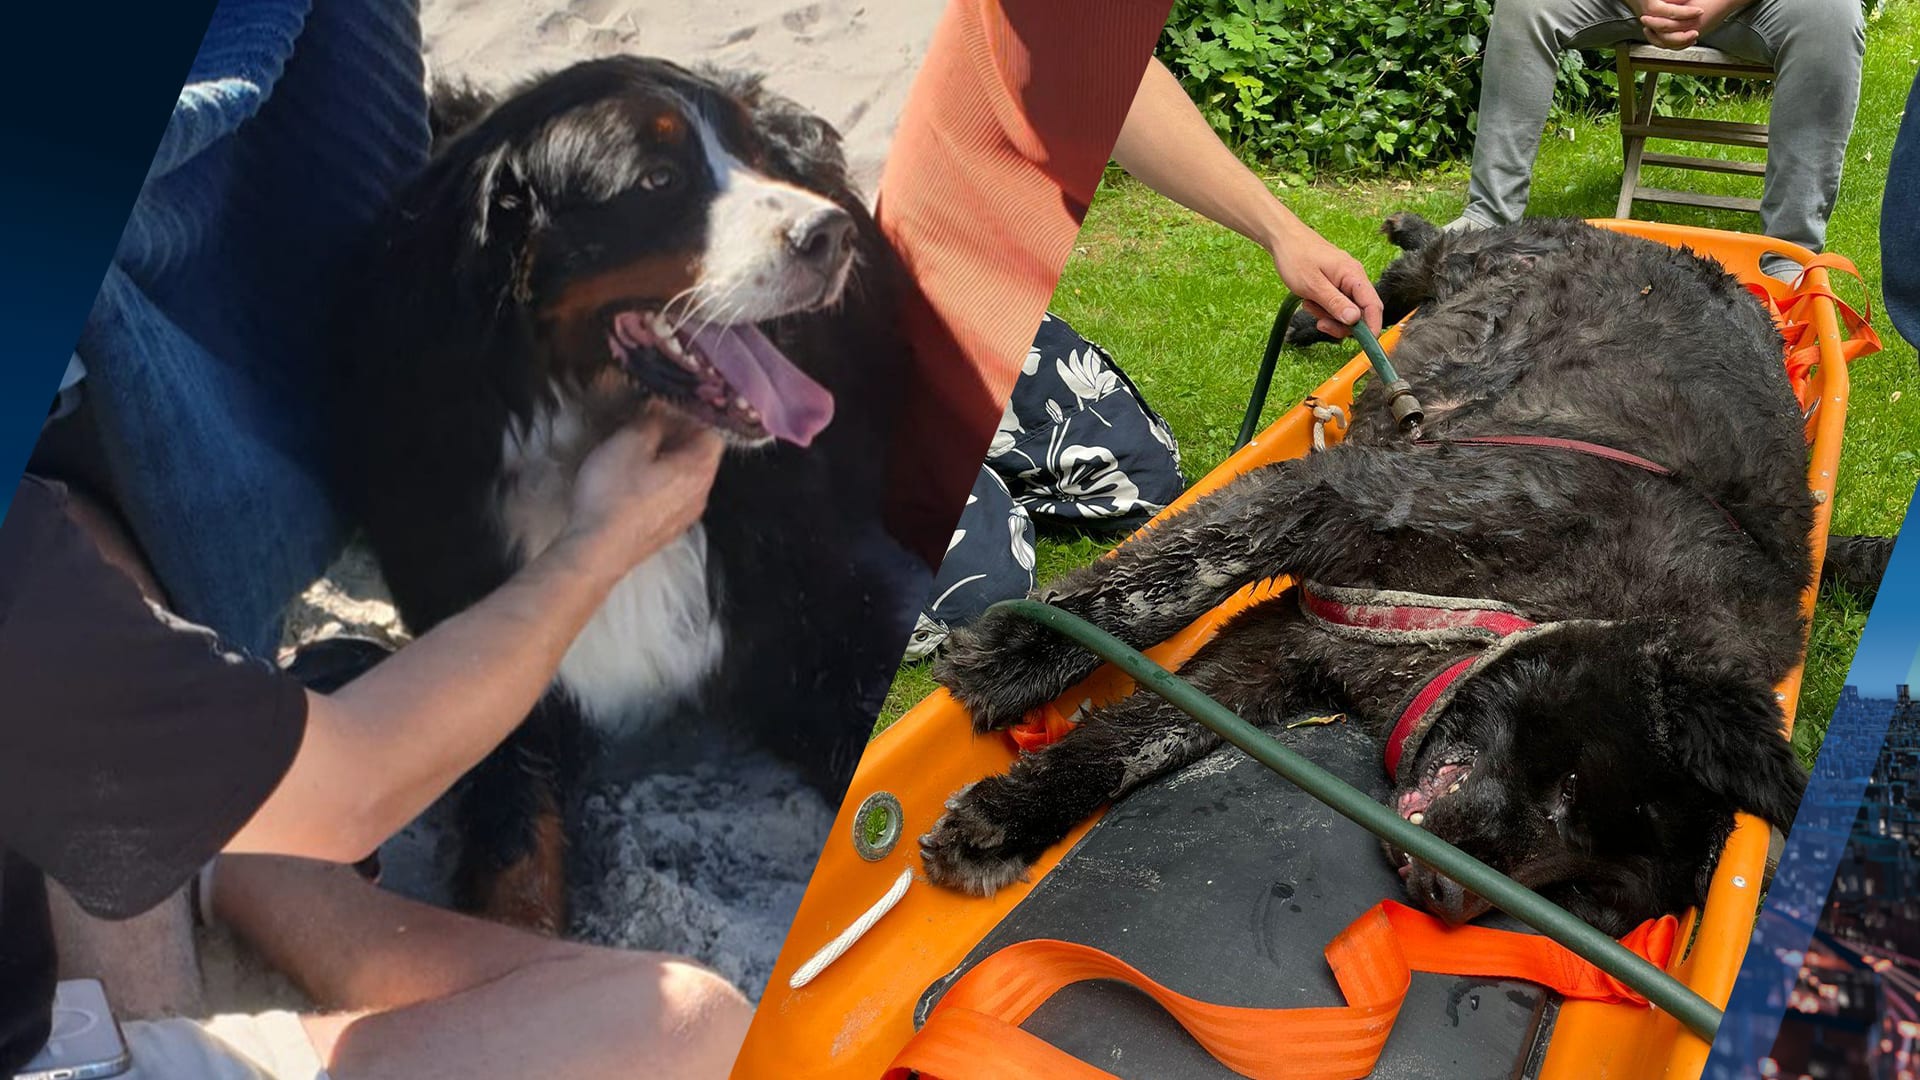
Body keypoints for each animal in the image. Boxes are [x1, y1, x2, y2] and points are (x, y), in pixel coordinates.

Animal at [341, 56, 917, 926]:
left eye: (753, 156)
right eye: (657, 178)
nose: (830, 236)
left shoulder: (817, 621)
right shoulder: (487, 688)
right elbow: (514, 873)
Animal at [929, 212, 1812, 933]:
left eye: (1584, 899)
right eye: (1567, 788)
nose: (1444, 897)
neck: (1503, 618)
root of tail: (1665, 245)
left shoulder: (1291, 640)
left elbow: (1152, 730)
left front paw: (1013, 813)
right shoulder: (1329, 502)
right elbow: (1162, 587)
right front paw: (1015, 657)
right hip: (1472, 265)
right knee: (1421, 262)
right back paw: (1342, 298)